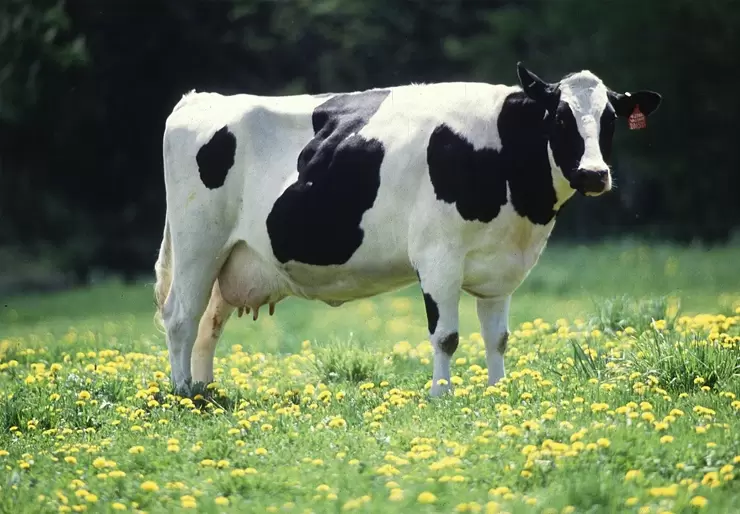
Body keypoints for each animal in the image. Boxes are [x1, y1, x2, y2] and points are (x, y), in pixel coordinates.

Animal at [153, 62, 661, 397]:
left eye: (610, 119)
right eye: (560, 117)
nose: (594, 174)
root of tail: (199, 99)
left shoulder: (500, 268)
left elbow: (497, 336)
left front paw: (498, 391)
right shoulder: (438, 256)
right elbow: (447, 336)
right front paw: (441, 395)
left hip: (231, 257)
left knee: (209, 323)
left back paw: (206, 390)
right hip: (198, 243)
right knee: (180, 316)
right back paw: (183, 393)